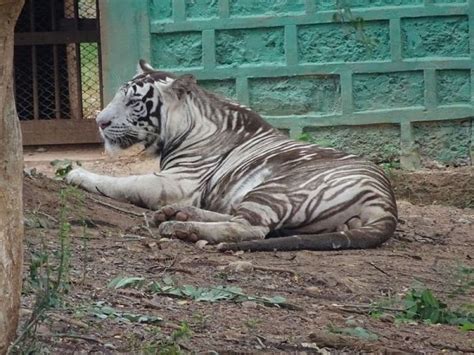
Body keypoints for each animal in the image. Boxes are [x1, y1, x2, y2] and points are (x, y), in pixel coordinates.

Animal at [66, 59, 396, 252]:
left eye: (134, 102)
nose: (100, 122)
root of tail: (387, 202)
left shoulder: (176, 182)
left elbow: (123, 182)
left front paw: (76, 173)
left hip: (278, 188)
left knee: (250, 228)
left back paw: (180, 226)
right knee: (243, 219)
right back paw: (179, 214)